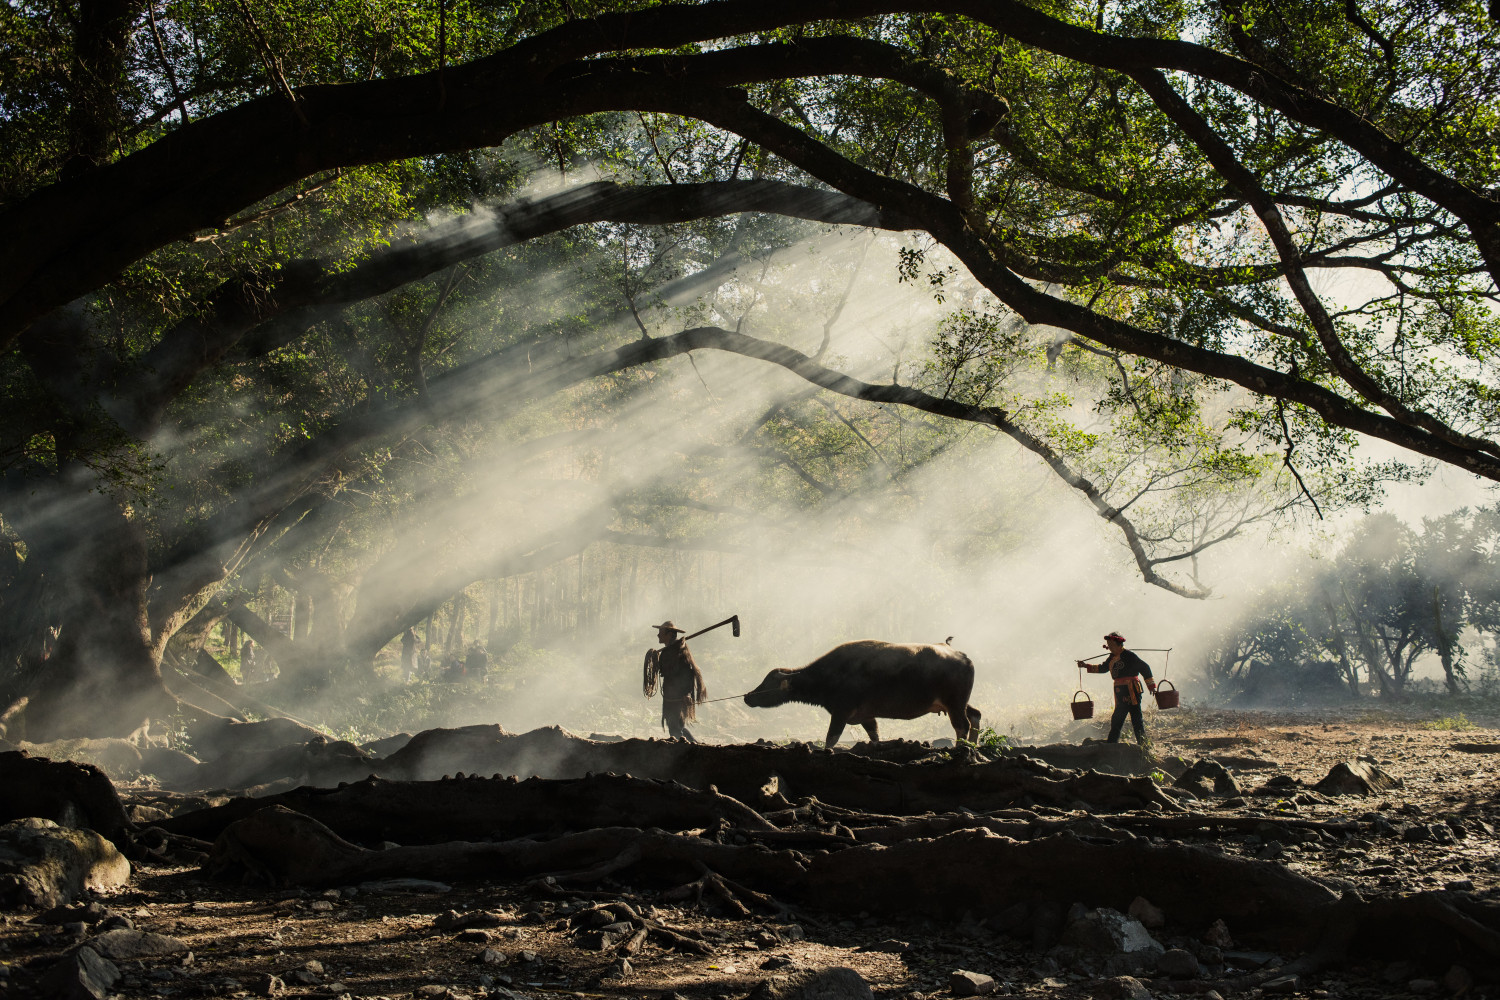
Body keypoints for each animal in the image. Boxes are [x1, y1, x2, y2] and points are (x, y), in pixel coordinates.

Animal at [741, 644, 978, 746]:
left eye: (768, 682)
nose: (747, 696)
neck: (829, 675)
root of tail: (964, 657)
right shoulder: (866, 716)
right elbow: (875, 735)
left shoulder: (841, 712)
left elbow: (831, 738)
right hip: (958, 704)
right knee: (975, 715)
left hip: (954, 704)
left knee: (962, 725)